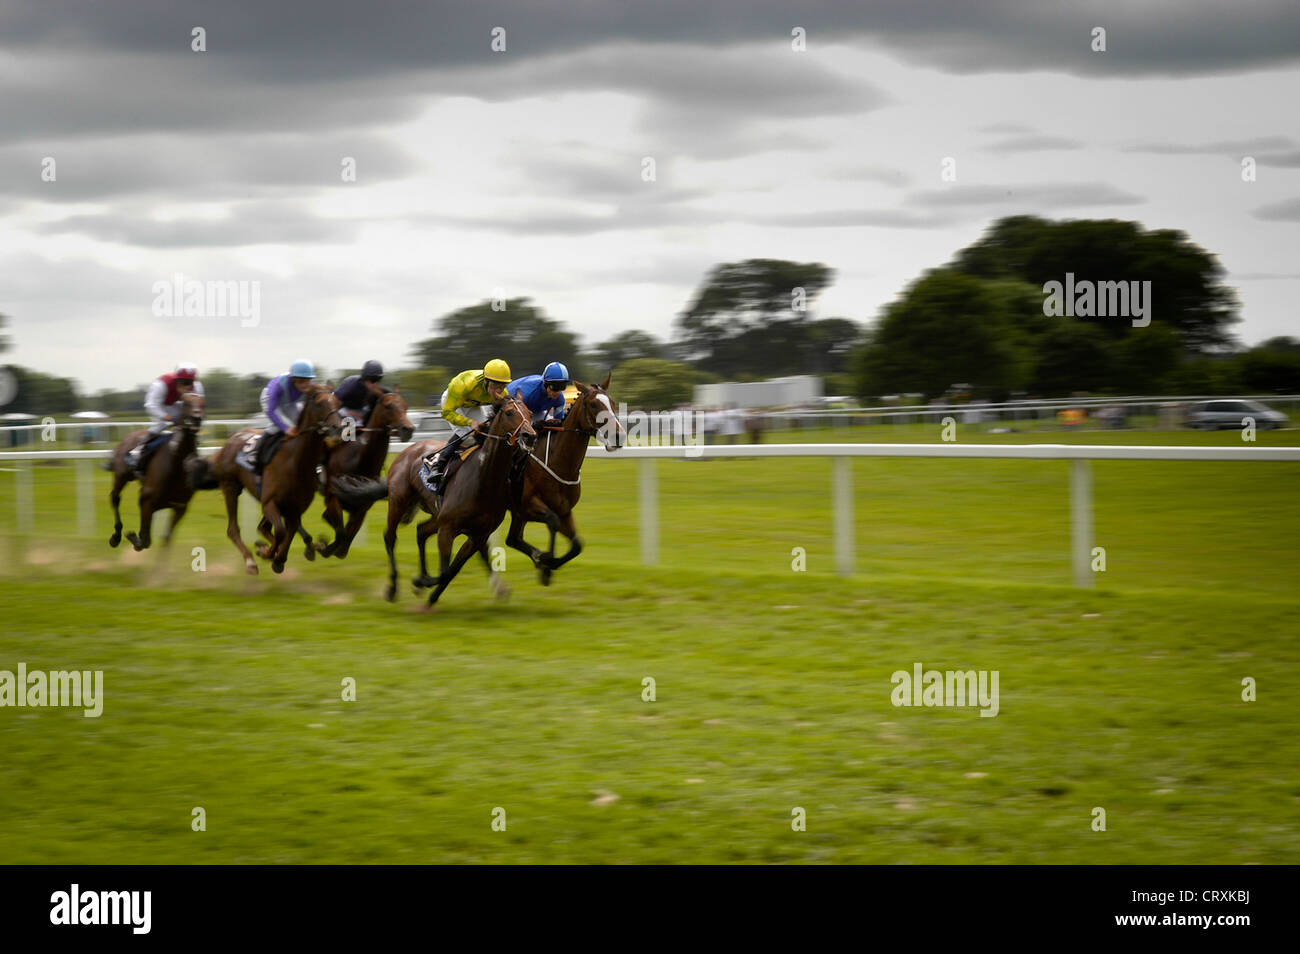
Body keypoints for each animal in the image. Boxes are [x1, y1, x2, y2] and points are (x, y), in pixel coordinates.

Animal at [107, 389, 210, 553]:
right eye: (186, 403)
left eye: (203, 403)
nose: (196, 418)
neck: (176, 467)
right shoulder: (146, 500)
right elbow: (145, 539)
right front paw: (132, 537)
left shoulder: (180, 507)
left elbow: (165, 539)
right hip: (121, 476)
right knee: (115, 498)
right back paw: (116, 536)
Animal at [208, 387, 343, 579]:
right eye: (319, 403)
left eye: (338, 403)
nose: (337, 428)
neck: (296, 461)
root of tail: (232, 438)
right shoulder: (270, 503)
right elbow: (280, 532)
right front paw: (269, 554)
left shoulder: (294, 508)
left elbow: (289, 531)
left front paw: (278, 558)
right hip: (231, 487)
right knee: (234, 529)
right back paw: (251, 561)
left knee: (264, 528)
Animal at [309, 389, 410, 561]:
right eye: (389, 406)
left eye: (405, 406)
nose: (408, 429)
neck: (359, 459)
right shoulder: (333, 498)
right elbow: (339, 532)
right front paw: (320, 545)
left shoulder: (361, 508)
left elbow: (343, 545)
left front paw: (324, 546)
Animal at [382, 395, 535, 605]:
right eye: (509, 412)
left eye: (530, 413)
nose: (530, 436)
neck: (483, 479)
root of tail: (408, 450)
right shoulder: (447, 529)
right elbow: (446, 571)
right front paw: (423, 582)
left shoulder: (478, 535)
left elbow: (452, 570)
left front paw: (426, 588)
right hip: (399, 501)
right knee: (390, 537)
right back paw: (392, 588)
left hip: (436, 514)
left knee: (421, 531)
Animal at [501, 376, 624, 587]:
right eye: (593, 404)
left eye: (613, 402)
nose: (618, 436)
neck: (558, 461)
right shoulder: (528, 505)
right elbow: (552, 522)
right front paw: (547, 563)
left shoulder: (564, 510)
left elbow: (577, 544)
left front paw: (548, 564)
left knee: (513, 539)